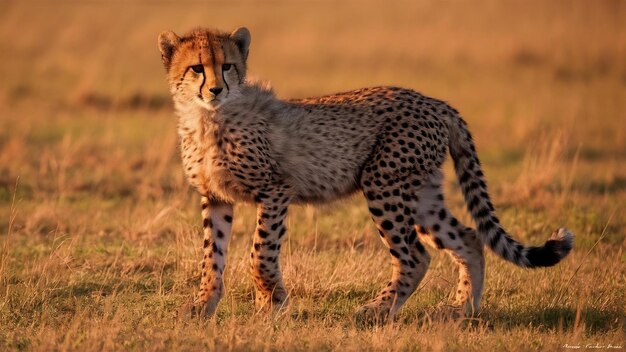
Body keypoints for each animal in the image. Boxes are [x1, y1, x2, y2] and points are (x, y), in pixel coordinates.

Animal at [156, 27, 572, 324]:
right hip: (421, 194)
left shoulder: (275, 190)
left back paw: (377, 311)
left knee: (415, 255)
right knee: (469, 238)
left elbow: (260, 252)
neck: (207, 118)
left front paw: (271, 304)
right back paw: (459, 310)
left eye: (227, 65)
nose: (215, 89)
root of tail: (436, 102)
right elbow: (212, 256)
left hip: (383, 185)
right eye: (197, 68)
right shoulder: (216, 198)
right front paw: (203, 307)